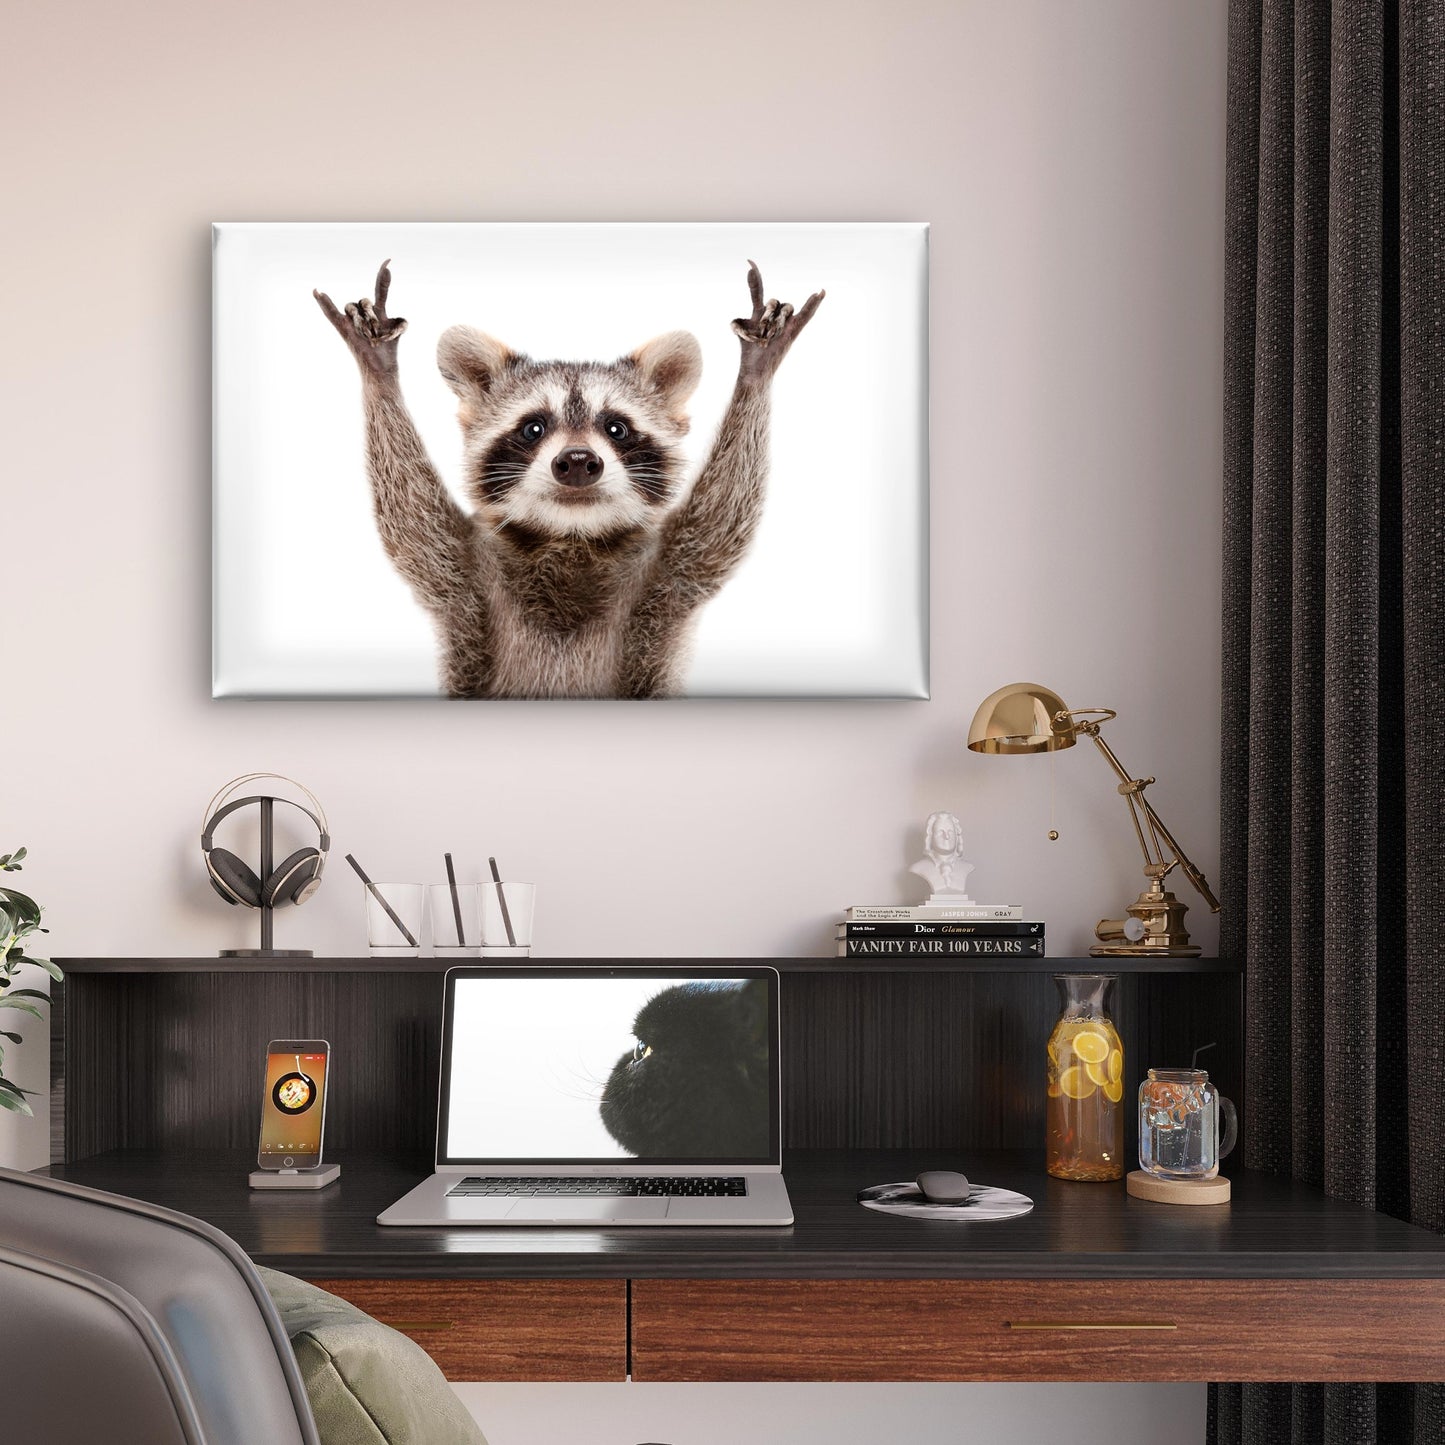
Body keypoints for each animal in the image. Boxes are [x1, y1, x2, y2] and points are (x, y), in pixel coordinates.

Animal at [314, 260, 824, 698]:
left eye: (616, 428)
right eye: (533, 428)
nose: (578, 461)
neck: (571, 536)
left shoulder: (669, 574)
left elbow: (722, 518)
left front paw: (756, 372)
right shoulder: (464, 577)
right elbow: (411, 518)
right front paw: (379, 373)